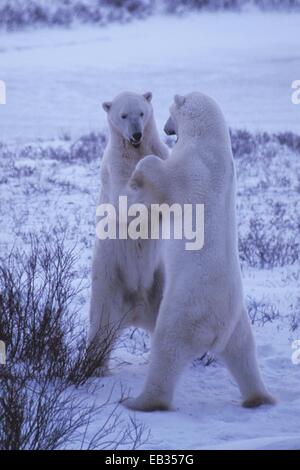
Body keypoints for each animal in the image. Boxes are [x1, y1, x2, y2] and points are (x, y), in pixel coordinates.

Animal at [88, 91, 169, 370]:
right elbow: (126, 200)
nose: (136, 134)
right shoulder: (116, 167)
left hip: (159, 281)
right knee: (100, 328)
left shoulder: (161, 151)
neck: (134, 151)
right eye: (123, 115)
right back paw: (93, 364)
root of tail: (136, 311)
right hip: (108, 280)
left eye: (141, 113)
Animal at [125, 92, 276, 412]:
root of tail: (214, 330)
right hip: (238, 321)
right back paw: (259, 396)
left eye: (170, 113)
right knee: (244, 353)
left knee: (166, 350)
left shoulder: (194, 168)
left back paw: (140, 401)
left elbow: (163, 176)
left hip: (183, 311)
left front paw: (136, 177)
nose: (167, 129)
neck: (211, 140)